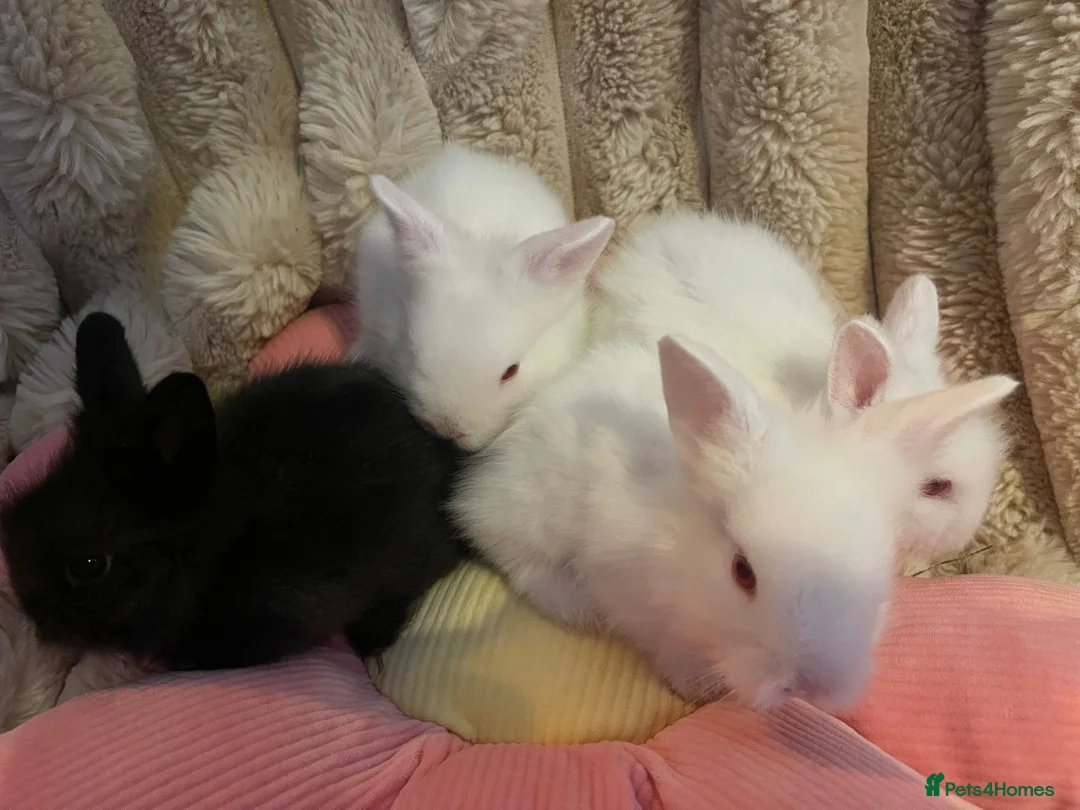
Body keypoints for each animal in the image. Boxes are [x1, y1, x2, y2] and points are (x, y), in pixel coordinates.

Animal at [451, 328, 1018, 710]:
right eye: (742, 572)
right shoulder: (636, 602)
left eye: (880, 572)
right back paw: (574, 607)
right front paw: (694, 690)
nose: (816, 687)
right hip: (528, 510)